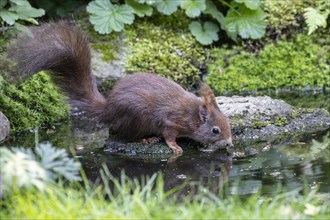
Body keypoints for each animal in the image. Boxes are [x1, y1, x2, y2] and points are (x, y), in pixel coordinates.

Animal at [9, 20, 232, 155]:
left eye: (228, 123)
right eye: (215, 130)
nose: (230, 143)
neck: (193, 115)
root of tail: (108, 110)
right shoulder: (172, 121)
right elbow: (169, 135)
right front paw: (176, 147)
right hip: (137, 118)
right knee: (124, 134)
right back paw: (146, 139)